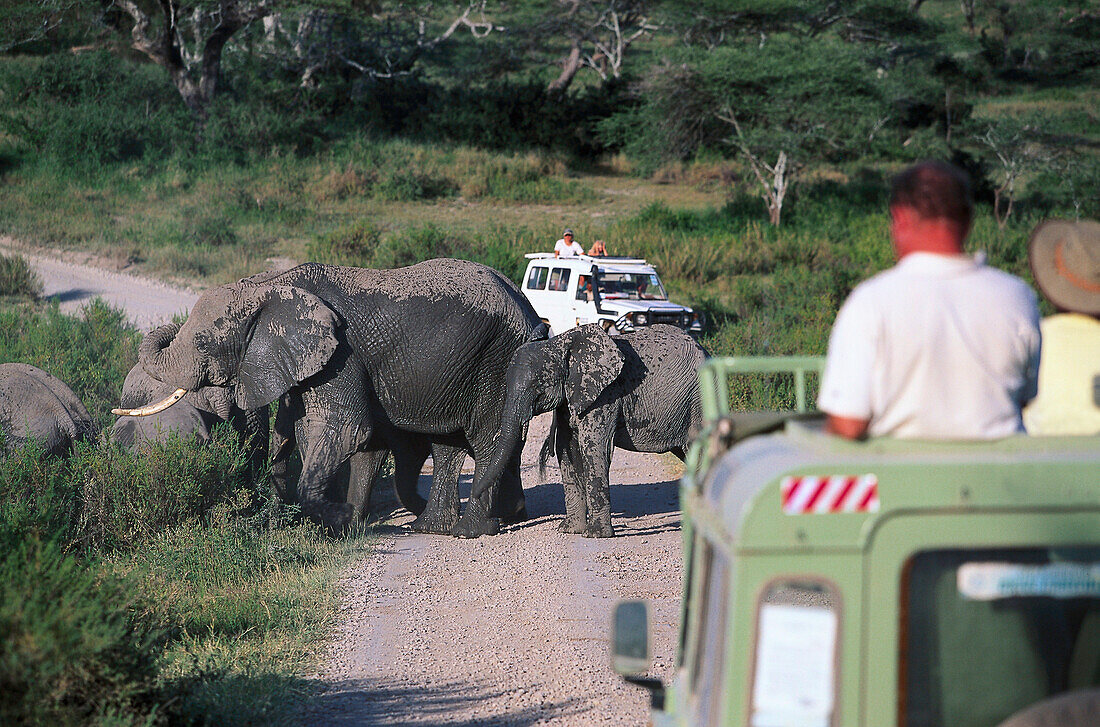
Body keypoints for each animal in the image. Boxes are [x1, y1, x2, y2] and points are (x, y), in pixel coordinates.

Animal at [116, 259, 545, 532]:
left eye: (203, 343)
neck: (271, 285)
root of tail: (528, 308)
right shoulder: (302, 358)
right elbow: (295, 428)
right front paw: (325, 521)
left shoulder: (341, 352)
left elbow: (346, 428)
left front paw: (336, 519)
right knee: (451, 444)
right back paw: (488, 519)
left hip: (497, 356)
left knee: (487, 436)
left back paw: (470, 529)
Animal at [455, 323, 704, 538]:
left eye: (537, 385)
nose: (476, 494)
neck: (560, 344)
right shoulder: (569, 399)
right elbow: (566, 450)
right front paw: (569, 530)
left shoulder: (605, 396)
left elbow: (593, 448)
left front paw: (595, 535)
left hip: (698, 401)